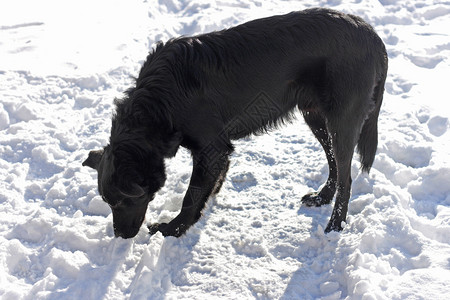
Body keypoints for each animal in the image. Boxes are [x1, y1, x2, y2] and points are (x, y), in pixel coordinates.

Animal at [83, 7, 386, 239]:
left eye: (123, 200)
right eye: (108, 202)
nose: (120, 235)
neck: (160, 101)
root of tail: (371, 34)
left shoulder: (212, 147)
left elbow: (191, 196)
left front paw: (173, 228)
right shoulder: (218, 150)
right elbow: (210, 182)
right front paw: (211, 195)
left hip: (342, 121)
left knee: (346, 176)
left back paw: (335, 225)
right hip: (316, 117)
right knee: (334, 164)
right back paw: (321, 197)